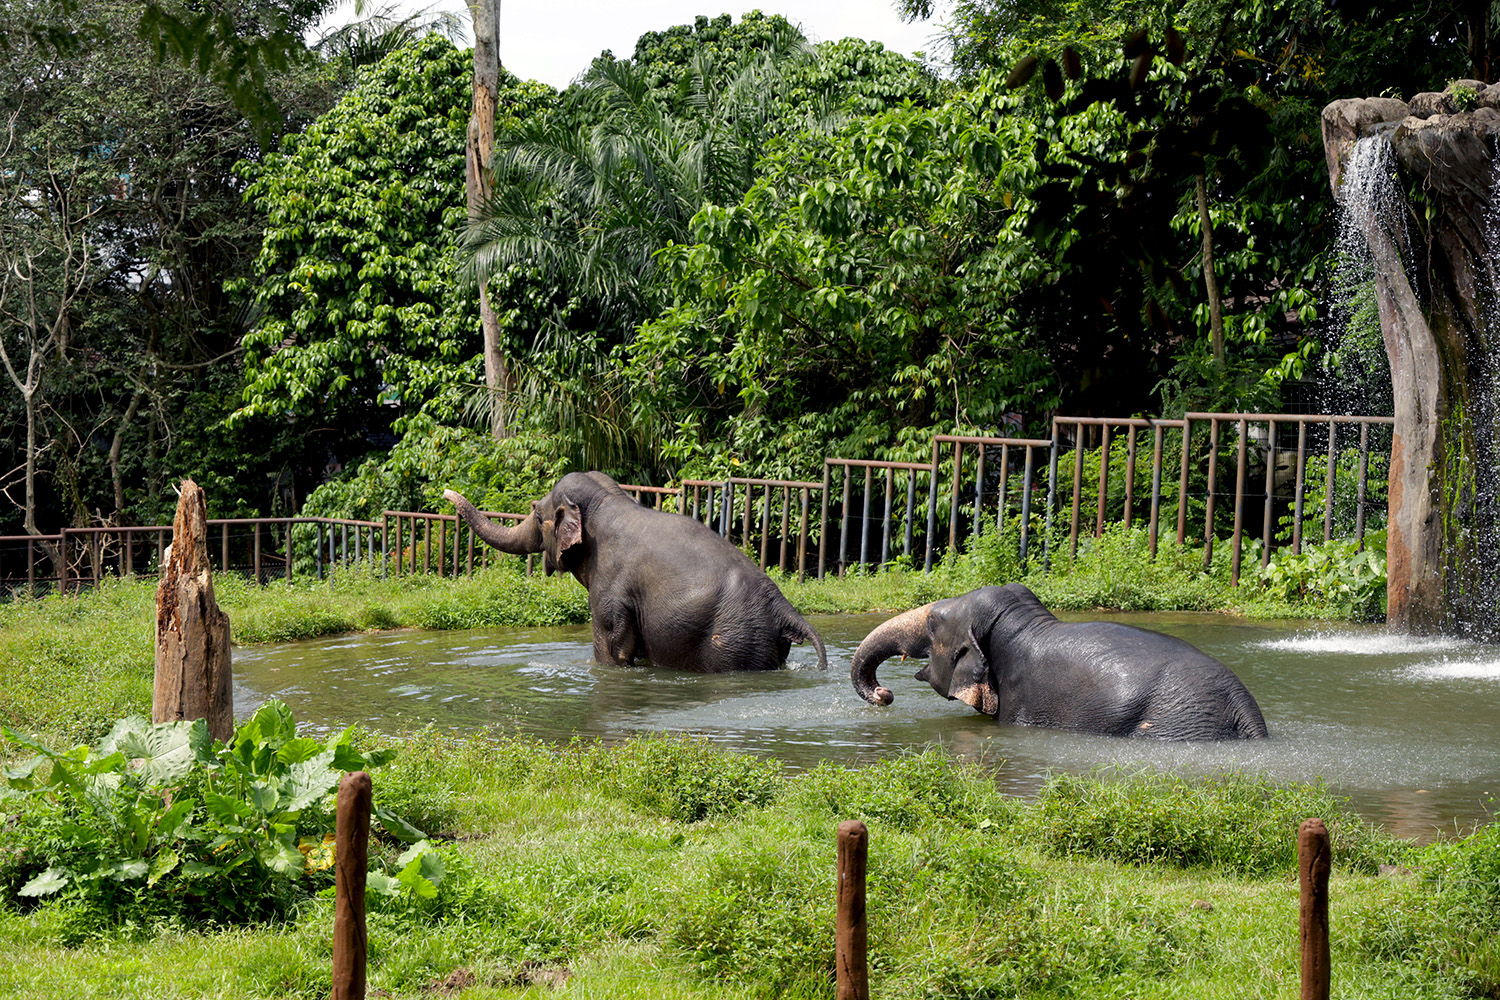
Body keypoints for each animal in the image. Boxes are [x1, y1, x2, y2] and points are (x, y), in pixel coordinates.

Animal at [444, 470, 834, 671]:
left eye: (539, 517)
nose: (447, 492)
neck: (611, 502)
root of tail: (783, 607)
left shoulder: (610, 589)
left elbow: (610, 646)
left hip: (736, 643)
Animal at [846, 581, 1266, 740]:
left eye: (932, 624)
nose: (885, 694)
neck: (1025, 623)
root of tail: (1243, 707)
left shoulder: (1023, 702)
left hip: (1175, 725)